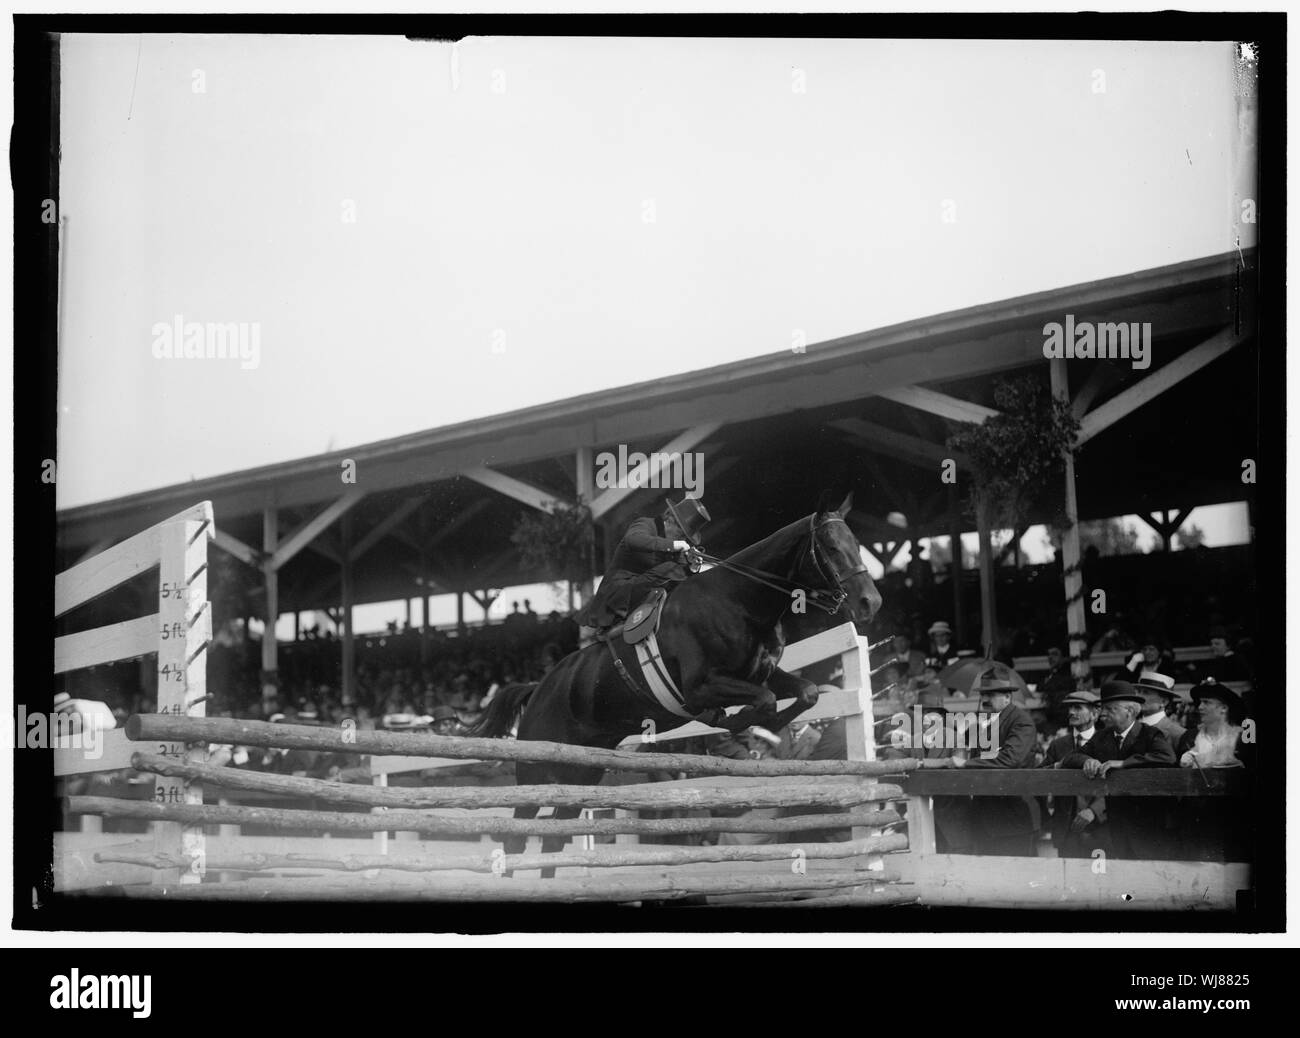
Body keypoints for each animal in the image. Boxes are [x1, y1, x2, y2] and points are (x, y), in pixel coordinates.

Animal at [470, 491, 883, 863]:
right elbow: (762, 702)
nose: (871, 603)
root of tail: (538, 687)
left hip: (581, 774)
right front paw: (739, 724)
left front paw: (758, 731)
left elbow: (807, 692)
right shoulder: (701, 688)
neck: (739, 602)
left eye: (857, 545)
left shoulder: (765, 673)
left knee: (555, 839)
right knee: (517, 837)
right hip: (537, 770)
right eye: (831, 547)